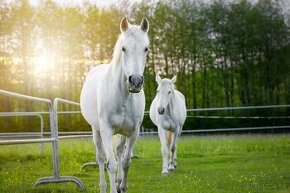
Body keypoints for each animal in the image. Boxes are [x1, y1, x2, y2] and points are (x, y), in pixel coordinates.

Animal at [81, 17, 151, 192]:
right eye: (123, 48)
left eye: (146, 49)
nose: (135, 81)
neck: (124, 96)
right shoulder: (106, 130)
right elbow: (111, 165)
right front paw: (113, 187)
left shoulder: (133, 132)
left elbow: (126, 162)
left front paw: (122, 186)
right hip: (96, 131)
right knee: (100, 158)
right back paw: (103, 186)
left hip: (122, 133)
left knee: (119, 152)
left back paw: (118, 182)